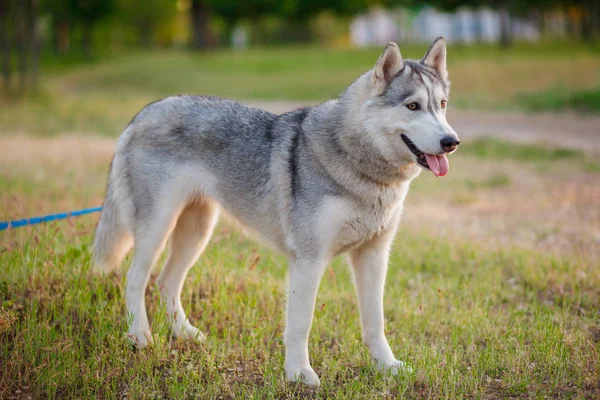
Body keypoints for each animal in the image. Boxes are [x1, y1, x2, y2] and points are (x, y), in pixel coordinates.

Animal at [94, 36, 460, 384]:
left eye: (442, 105)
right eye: (413, 106)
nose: (452, 142)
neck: (359, 165)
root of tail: (146, 111)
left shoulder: (373, 255)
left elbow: (375, 322)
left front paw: (387, 367)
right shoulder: (309, 260)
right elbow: (301, 324)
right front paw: (298, 374)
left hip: (197, 231)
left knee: (166, 282)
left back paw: (184, 334)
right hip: (158, 227)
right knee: (135, 280)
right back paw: (139, 336)